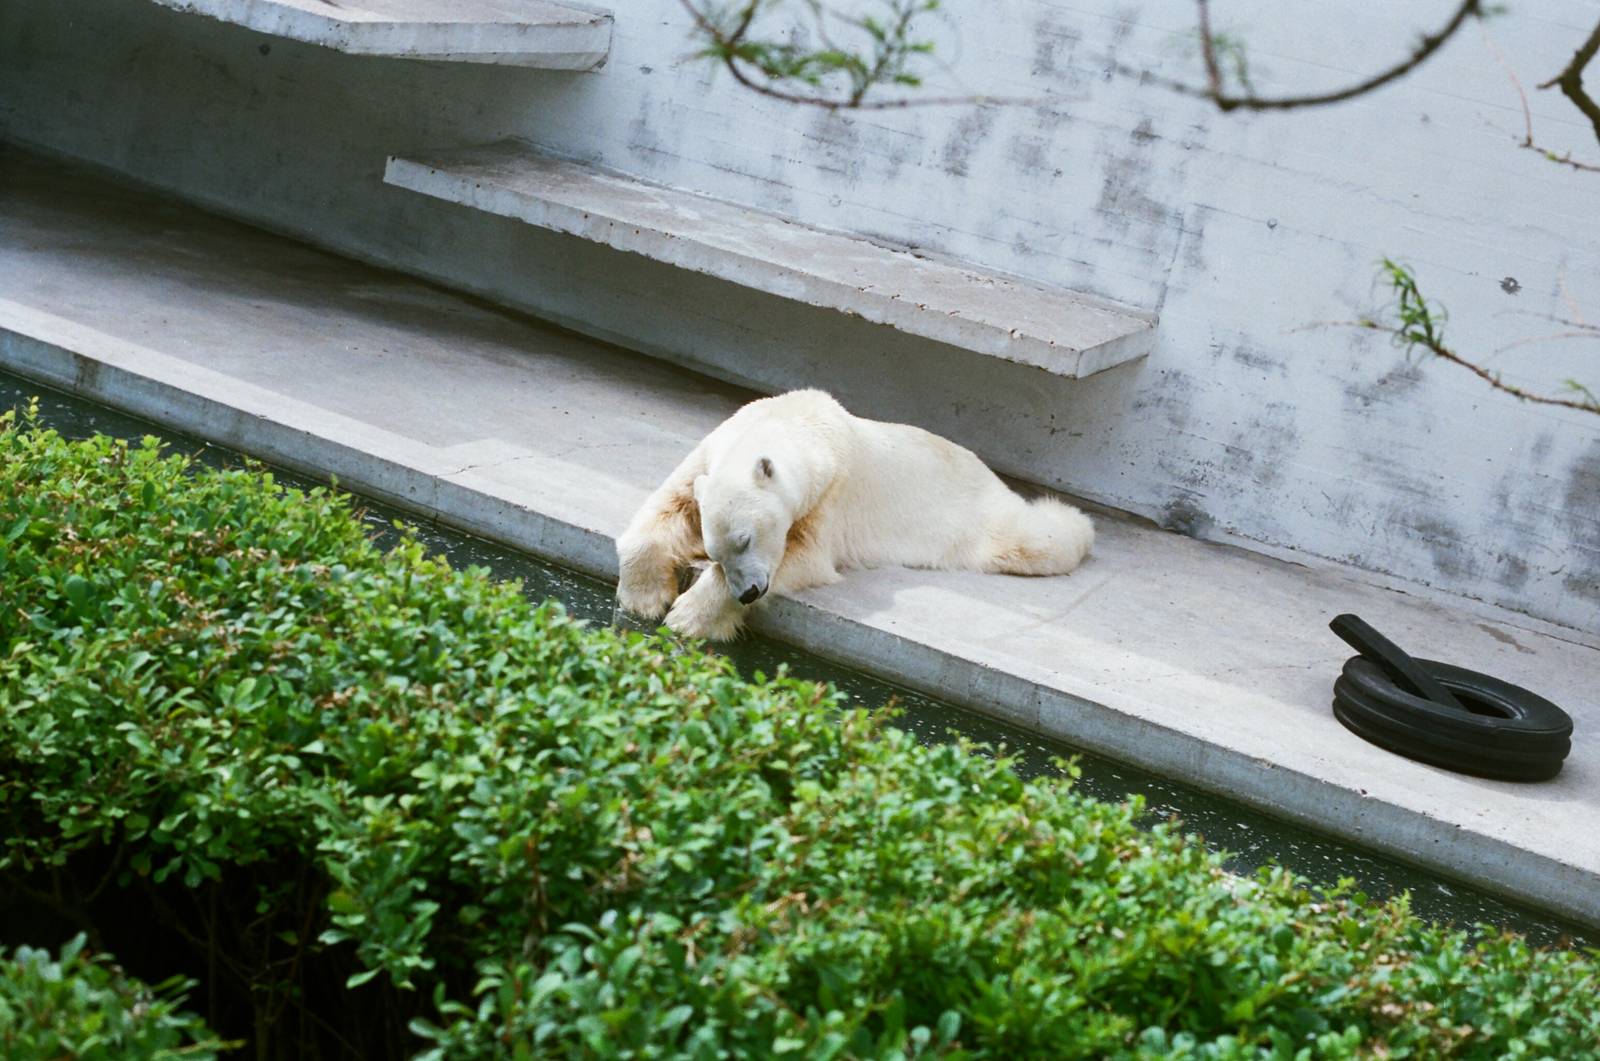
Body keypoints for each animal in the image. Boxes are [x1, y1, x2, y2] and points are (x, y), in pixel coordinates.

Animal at [615, 389, 1094, 640]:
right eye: (716, 550)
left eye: (745, 540)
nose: (749, 591)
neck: (792, 418)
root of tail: (991, 476)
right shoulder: (707, 455)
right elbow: (667, 510)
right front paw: (643, 598)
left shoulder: (831, 491)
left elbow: (805, 555)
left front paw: (688, 617)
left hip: (974, 517)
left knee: (1038, 540)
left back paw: (1071, 520)